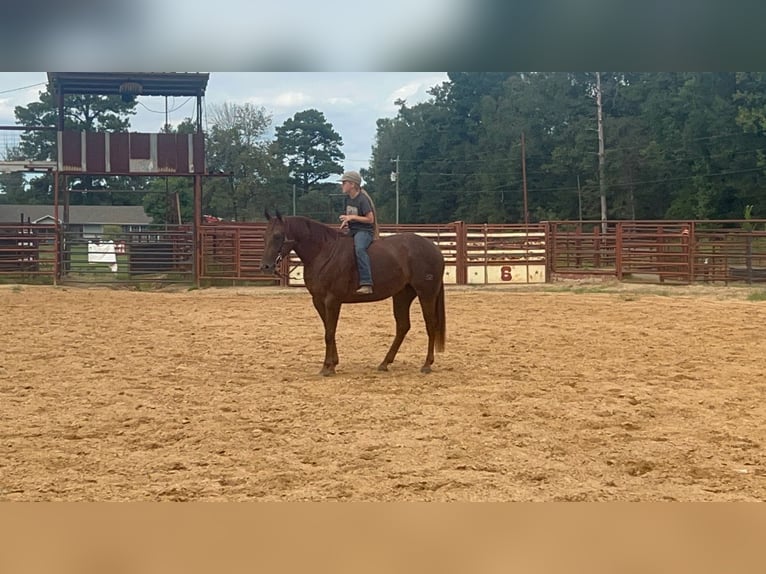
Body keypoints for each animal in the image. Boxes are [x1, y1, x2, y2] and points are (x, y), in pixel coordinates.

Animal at [260, 212, 448, 378]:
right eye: (265, 235)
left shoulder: (332, 300)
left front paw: (328, 367)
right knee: (403, 326)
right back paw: (384, 363)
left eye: (277, 235)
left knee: (430, 325)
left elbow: (329, 332)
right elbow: (328, 330)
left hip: (426, 294)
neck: (325, 252)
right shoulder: (319, 301)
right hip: (402, 295)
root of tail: (435, 249)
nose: (266, 266)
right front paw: (332, 363)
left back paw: (426, 365)